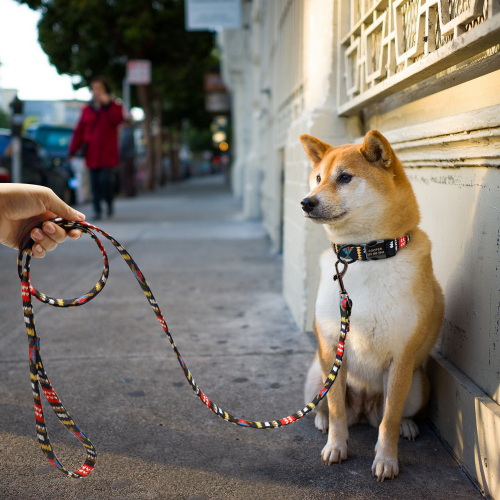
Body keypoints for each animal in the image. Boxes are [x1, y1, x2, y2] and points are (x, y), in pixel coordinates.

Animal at [298, 130, 444, 480]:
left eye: (344, 178)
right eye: (318, 178)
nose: (306, 201)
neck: (365, 255)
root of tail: (364, 410)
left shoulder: (402, 359)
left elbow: (389, 420)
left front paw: (387, 460)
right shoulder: (332, 349)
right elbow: (336, 408)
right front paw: (336, 446)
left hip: (418, 384)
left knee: (392, 415)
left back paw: (408, 426)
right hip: (315, 376)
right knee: (325, 404)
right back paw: (321, 420)